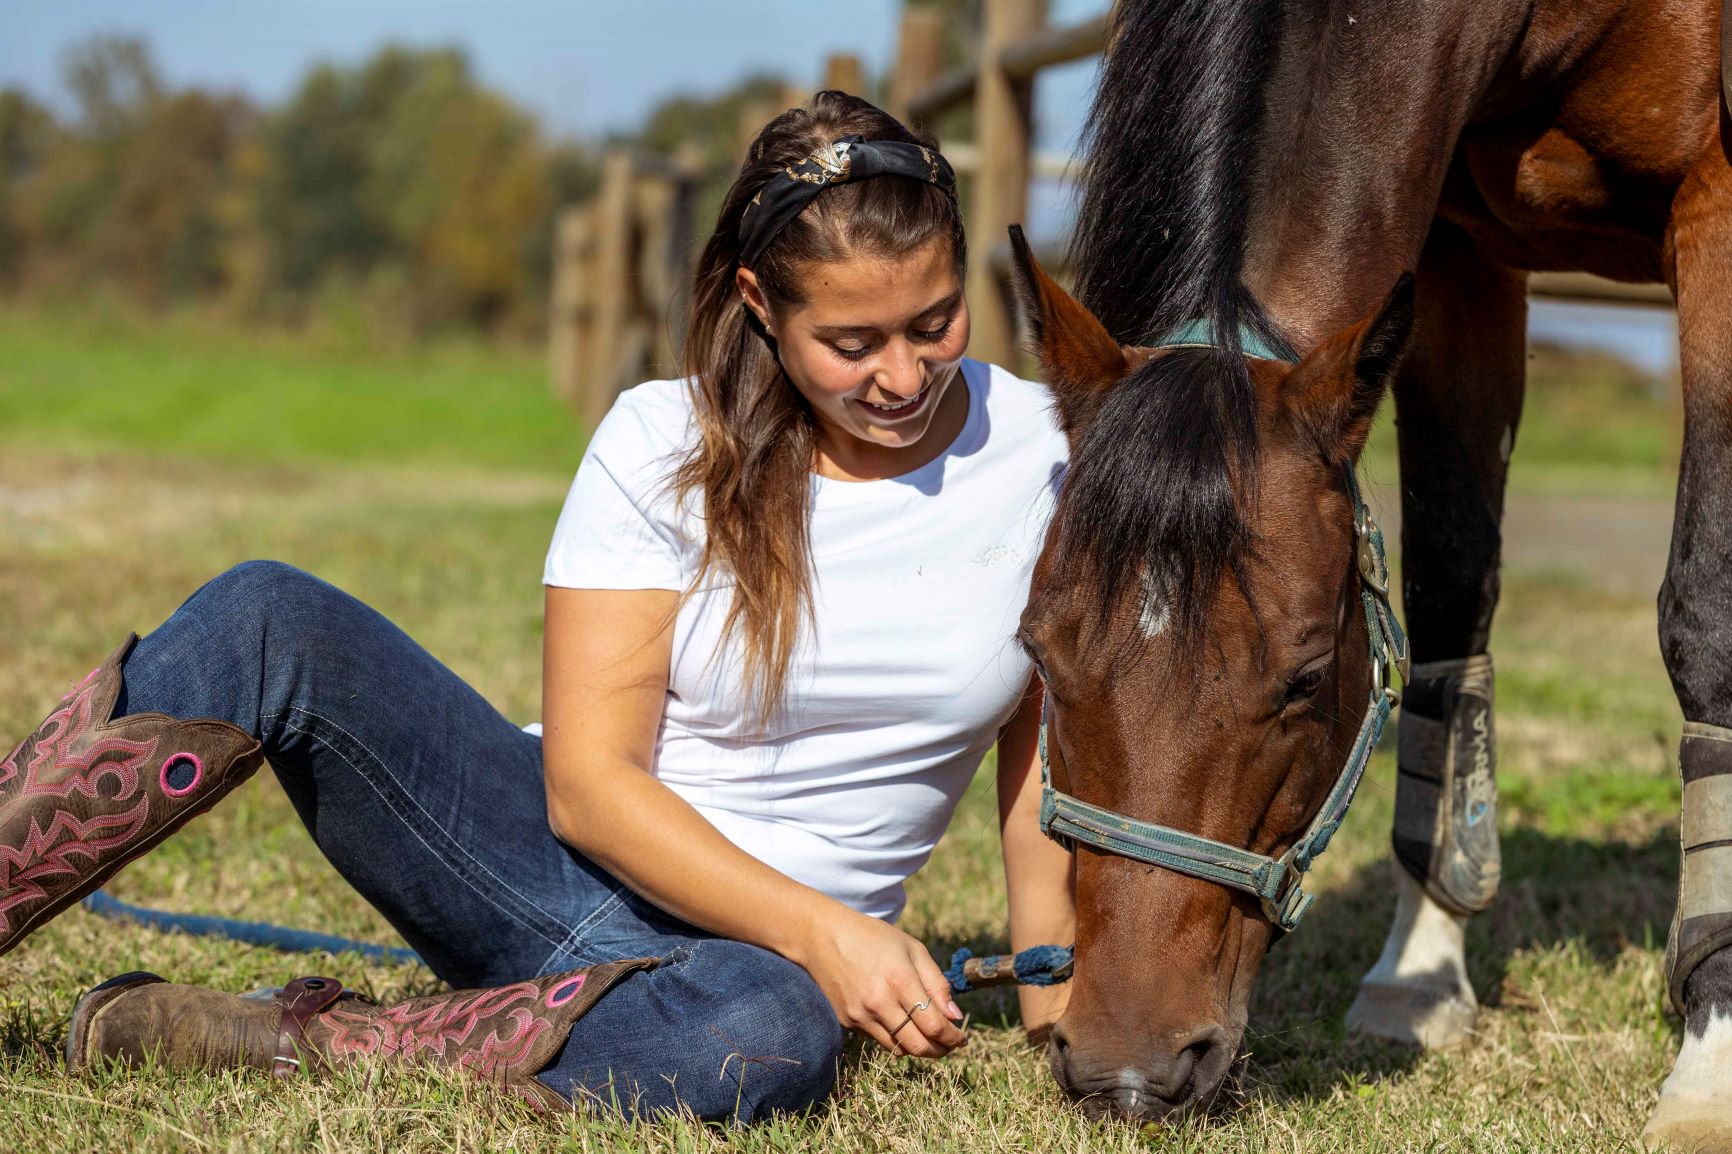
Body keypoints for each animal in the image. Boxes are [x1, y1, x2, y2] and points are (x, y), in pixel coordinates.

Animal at [1011, 2, 1732, 1143]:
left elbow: (1705, 610)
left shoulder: (1717, 204)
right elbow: (1449, 589)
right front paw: (1420, 972)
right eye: (1037, 652)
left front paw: (1710, 1055)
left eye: (1305, 679)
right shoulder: (1449, 250)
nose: (1125, 1073)